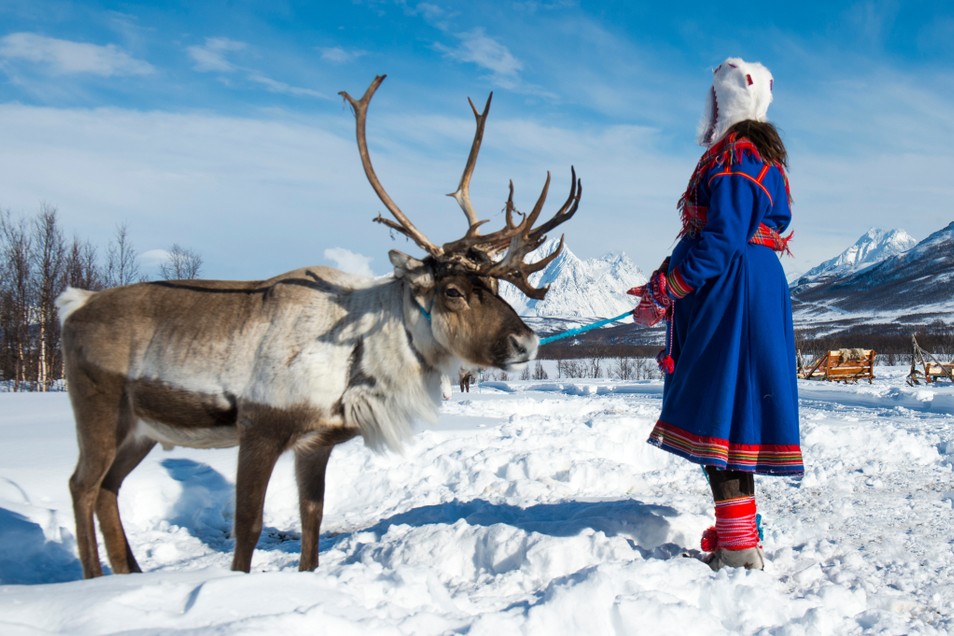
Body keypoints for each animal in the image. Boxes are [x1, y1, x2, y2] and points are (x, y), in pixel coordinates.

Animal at [57, 75, 581, 578]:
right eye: (452, 291)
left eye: (493, 286)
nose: (526, 341)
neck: (355, 361)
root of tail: (76, 306)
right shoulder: (260, 428)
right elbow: (248, 527)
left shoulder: (316, 443)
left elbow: (312, 519)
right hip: (99, 408)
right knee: (82, 485)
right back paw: (96, 578)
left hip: (140, 429)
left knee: (108, 489)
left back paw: (129, 573)